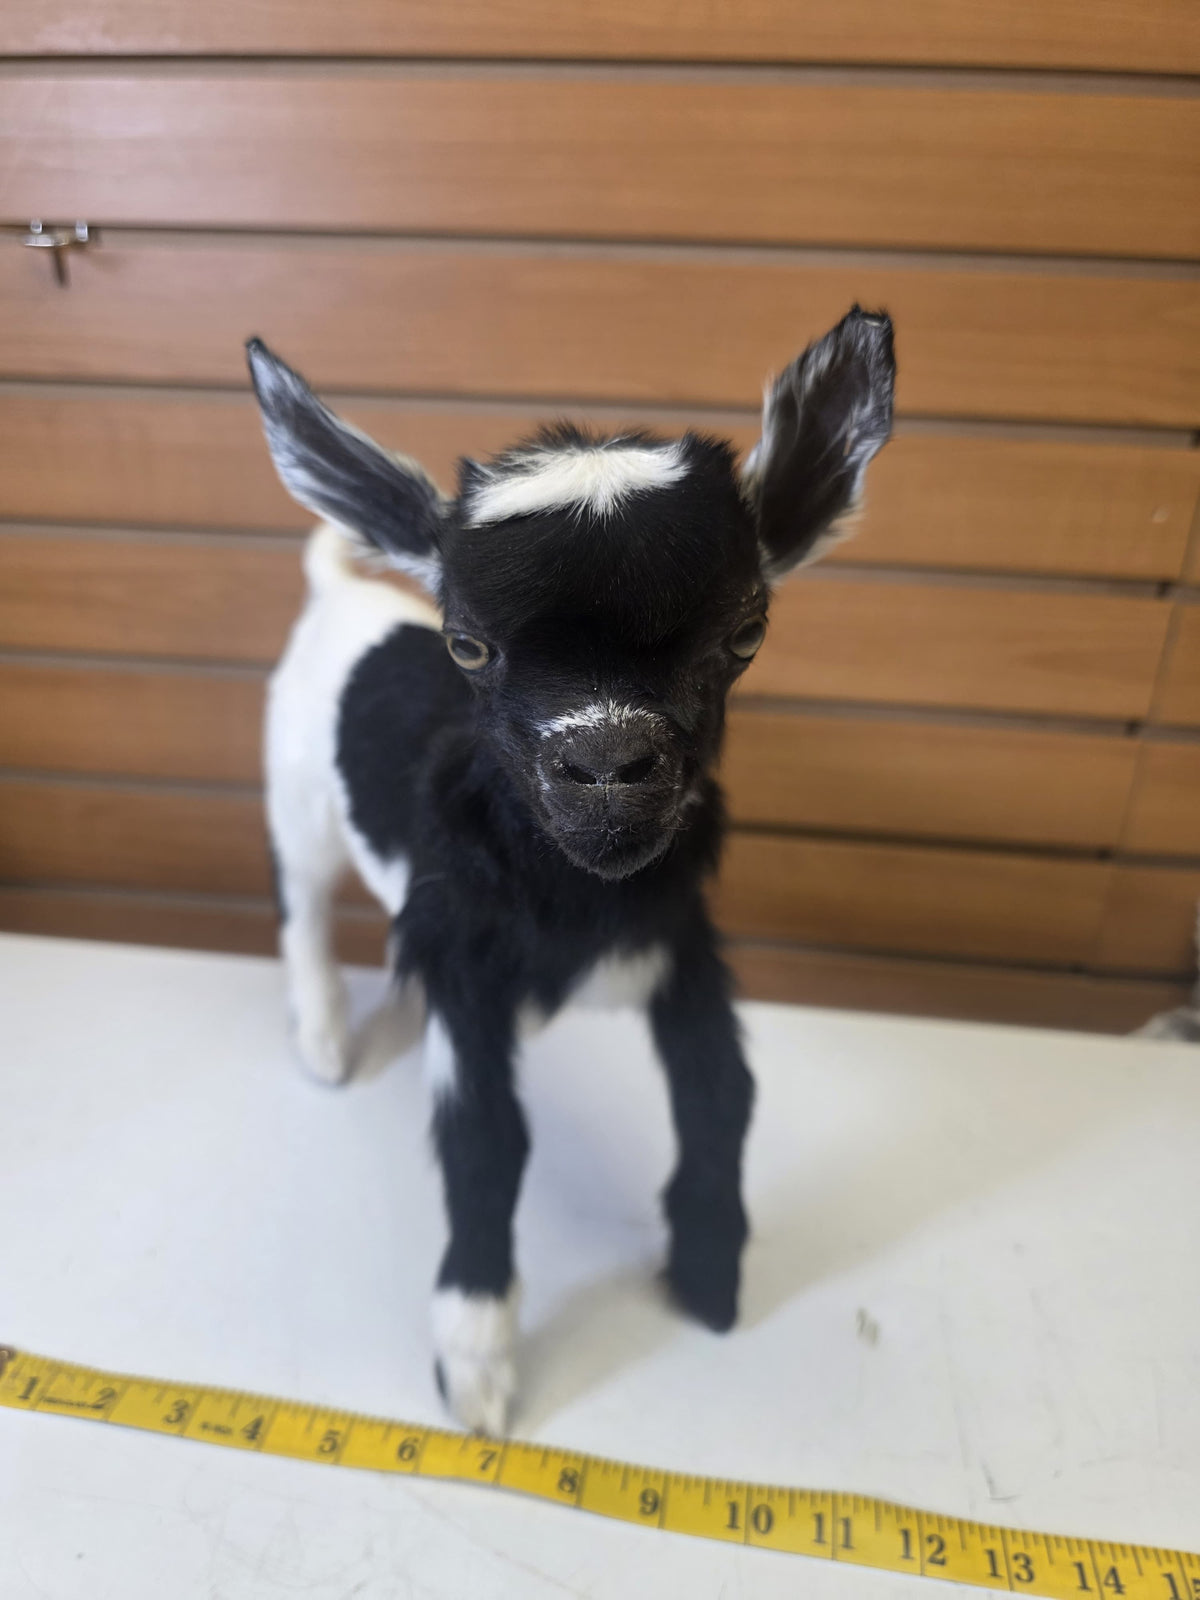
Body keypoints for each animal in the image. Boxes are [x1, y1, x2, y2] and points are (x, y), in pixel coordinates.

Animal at [246, 308, 896, 1433]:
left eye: (746, 630)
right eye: (466, 644)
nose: (605, 764)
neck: (578, 907)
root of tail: (338, 593)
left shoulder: (678, 942)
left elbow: (724, 1091)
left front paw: (711, 1272)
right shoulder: (464, 970)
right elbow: (485, 1138)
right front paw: (474, 1356)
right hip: (295, 799)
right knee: (302, 906)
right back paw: (324, 1039)